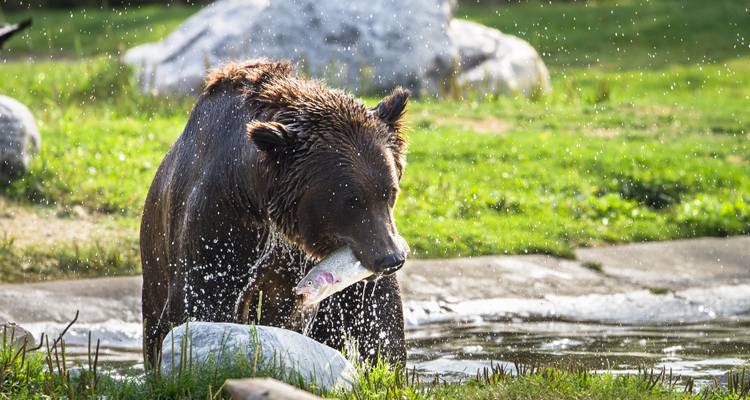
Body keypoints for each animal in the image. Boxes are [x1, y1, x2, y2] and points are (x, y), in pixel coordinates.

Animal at [140, 59, 411, 369]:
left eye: (390, 191)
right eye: (351, 201)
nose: (391, 258)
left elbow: (379, 315)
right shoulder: (218, 222)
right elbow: (203, 296)